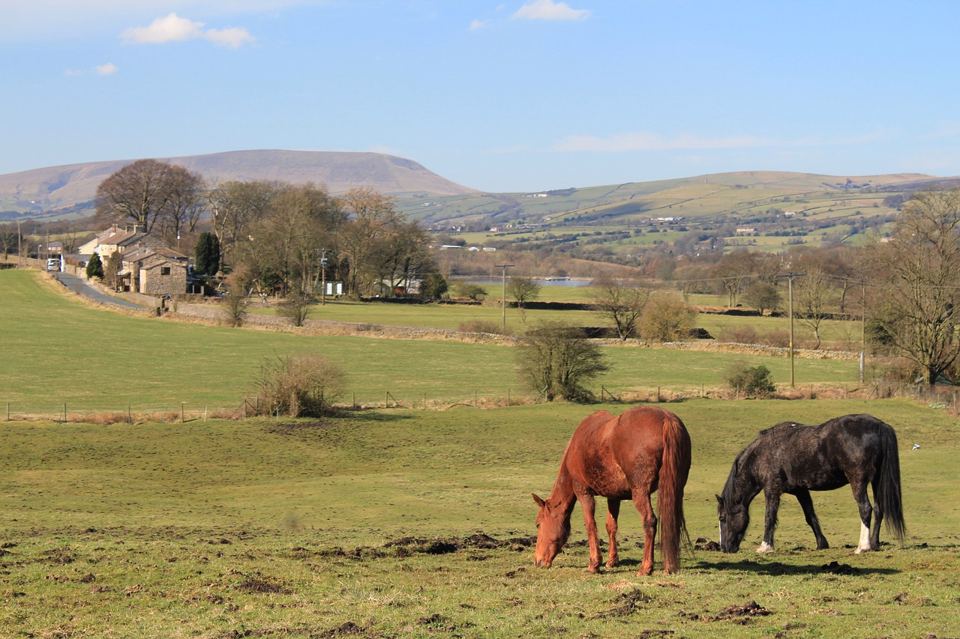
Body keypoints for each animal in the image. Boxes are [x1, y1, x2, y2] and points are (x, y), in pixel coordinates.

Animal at [532, 406, 692, 575]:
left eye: (538, 524)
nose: (537, 561)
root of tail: (666, 418)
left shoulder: (584, 492)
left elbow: (590, 524)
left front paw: (594, 564)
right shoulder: (614, 496)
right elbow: (611, 526)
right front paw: (612, 561)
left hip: (640, 493)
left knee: (650, 521)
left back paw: (645, 567)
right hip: (676, 489)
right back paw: (669, 566)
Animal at [716, 414, 905, 555]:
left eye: (722, 518)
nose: (724, 548)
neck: (763, 452)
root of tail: (879, 425)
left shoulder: (772, 489)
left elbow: (769, 516)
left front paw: (765, 547)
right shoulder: (801, 491)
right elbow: (810, 516)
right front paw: (822, 543)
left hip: (858, 481)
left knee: (865, 508)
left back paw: (863, 547)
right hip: (876, 480)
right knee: (879, 509)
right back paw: (874, 544)